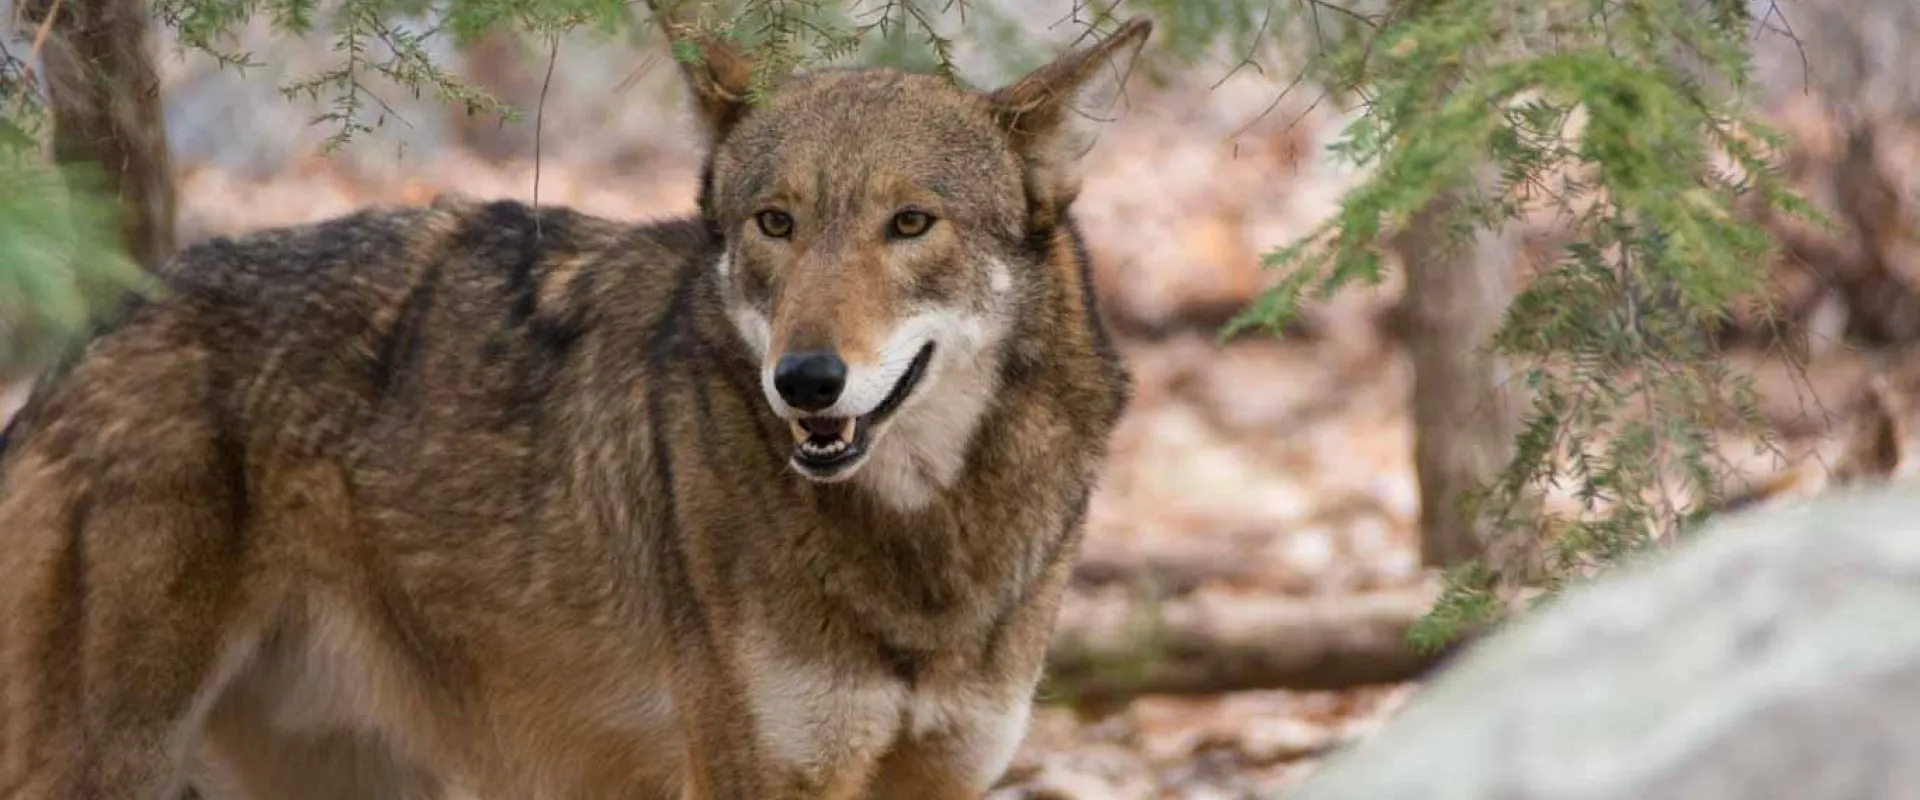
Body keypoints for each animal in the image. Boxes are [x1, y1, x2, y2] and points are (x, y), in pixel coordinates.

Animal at [0, 10, 1148, 800]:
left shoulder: (943, 772)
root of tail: (91, 337)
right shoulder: (761, 775)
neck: (921, 556)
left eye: (912, 222)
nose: (805, 380)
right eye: (775, 221)